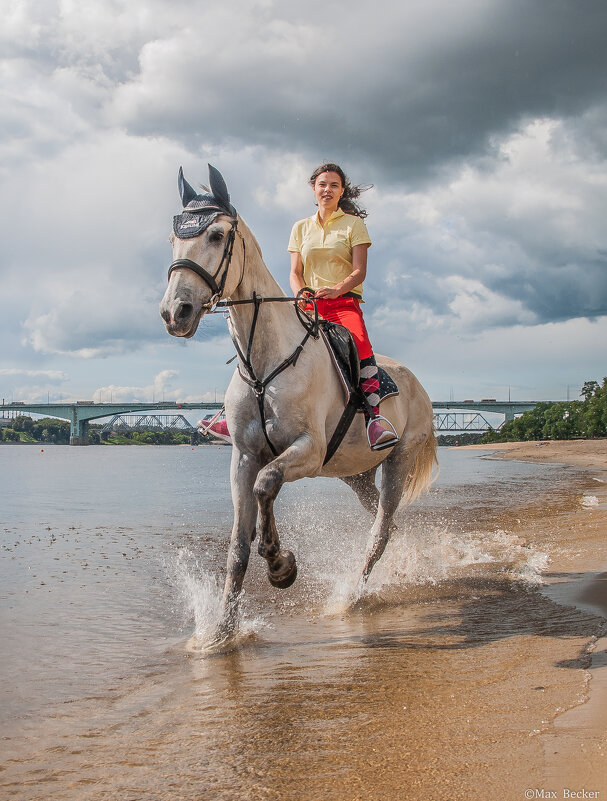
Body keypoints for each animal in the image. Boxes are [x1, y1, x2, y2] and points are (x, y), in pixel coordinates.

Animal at [162, 167, 436, 636]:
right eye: (172, 239)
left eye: (216, 235)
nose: (174, 312)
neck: (265, 364)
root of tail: (419, 386)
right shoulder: (243, 456)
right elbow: (239, 545)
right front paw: (222, 631)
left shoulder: (307, 450)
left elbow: (266, 484)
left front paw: (281, 566)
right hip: (357, 475)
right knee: (386, 522)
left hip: (397, 461)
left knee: (380, 532)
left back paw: (351, 598)